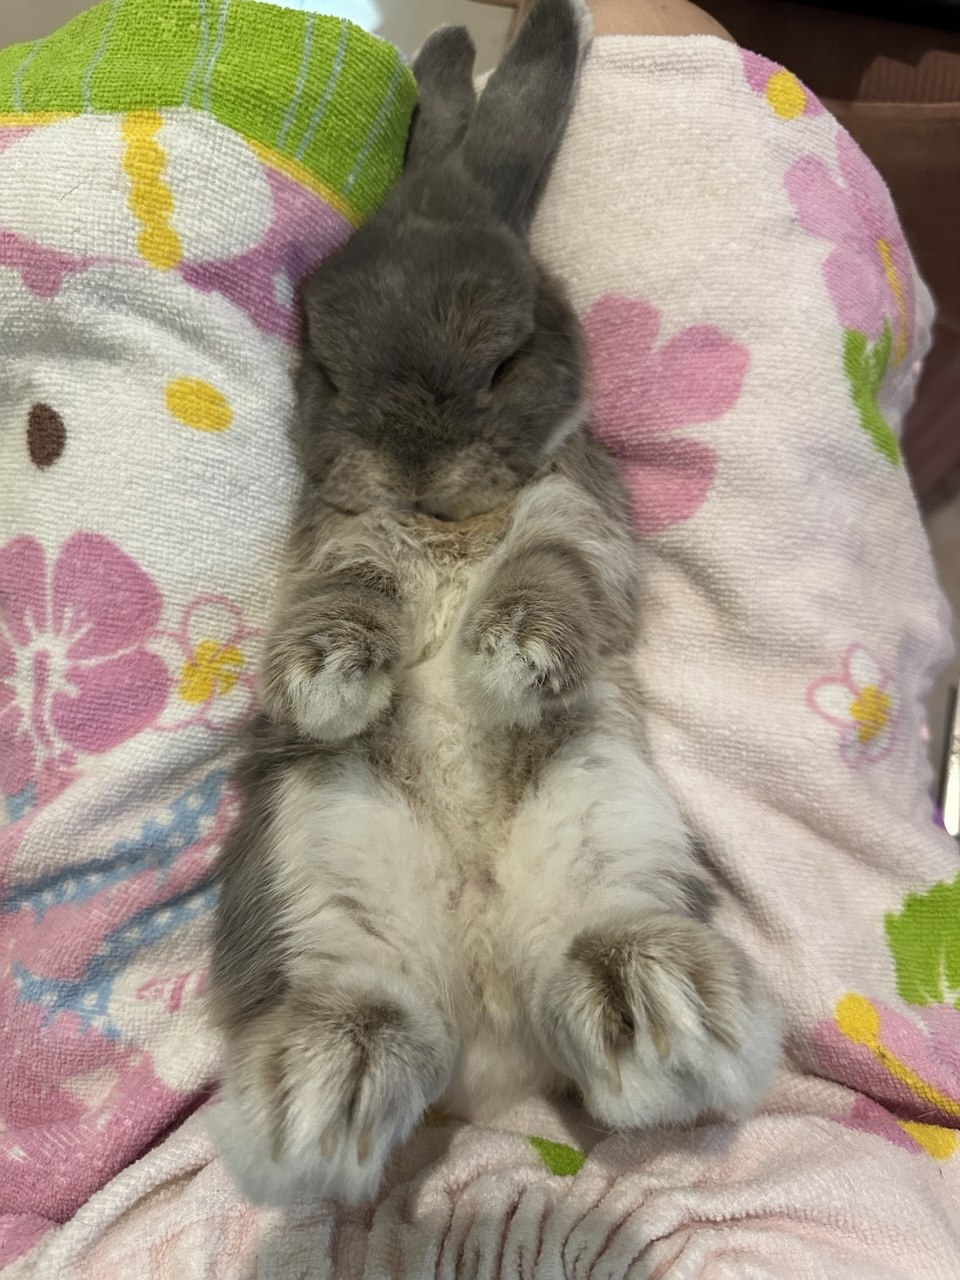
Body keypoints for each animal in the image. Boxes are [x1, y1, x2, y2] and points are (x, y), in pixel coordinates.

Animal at [207, 0, 779, 1209]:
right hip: (316, 849)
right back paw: (320, 1094)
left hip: (601, 801)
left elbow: (544, 578)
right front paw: (323, 683)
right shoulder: (350, 544)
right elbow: (351, 594)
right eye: (326, 369)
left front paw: (504, 662)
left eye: (508, 359)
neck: (447, 527)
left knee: (593, 950)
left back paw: (658, 1010)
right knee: (376, 1007)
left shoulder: (579, 528)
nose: (416, 468)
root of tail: (493, 1060)